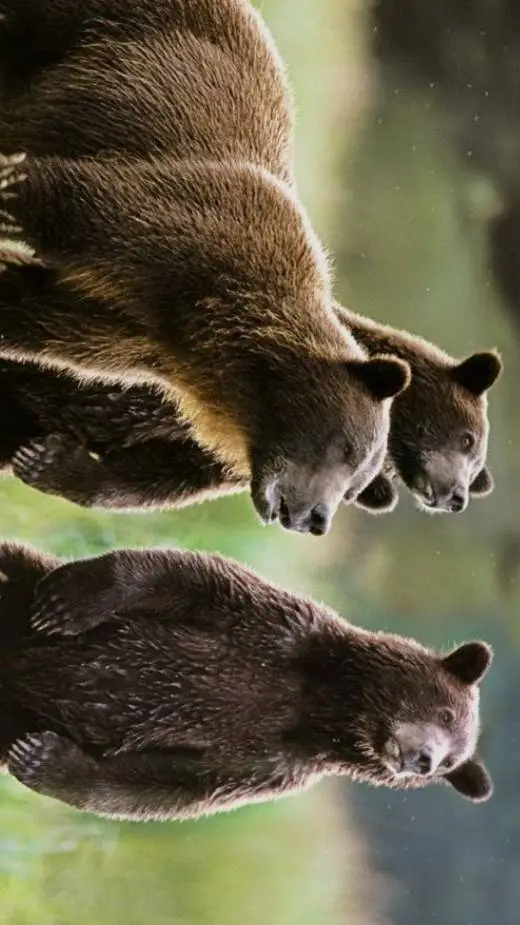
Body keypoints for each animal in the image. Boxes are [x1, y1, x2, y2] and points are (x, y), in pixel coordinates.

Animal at [0, 0, 412, 536]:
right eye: (347, 449)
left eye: (355, 484)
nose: (313, 518)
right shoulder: (175, 231)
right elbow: (57, 197)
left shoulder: (130, 334)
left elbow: (35, 316)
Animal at [0, 257, 501, 517]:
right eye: (468, 438)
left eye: (476, 467)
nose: (457, 496)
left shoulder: (218, 453)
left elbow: (152, 476)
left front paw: (51, 461)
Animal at [0, 541, 493, 821]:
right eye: (446, 712)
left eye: (450, 763)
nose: (423, 760)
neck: (324, 706)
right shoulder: (278, 628)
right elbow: (185, 576)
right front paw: (69, 602)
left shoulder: (265, 766)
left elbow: (161, 786)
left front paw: (41, 756)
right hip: (22, 595)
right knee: (17, 561)